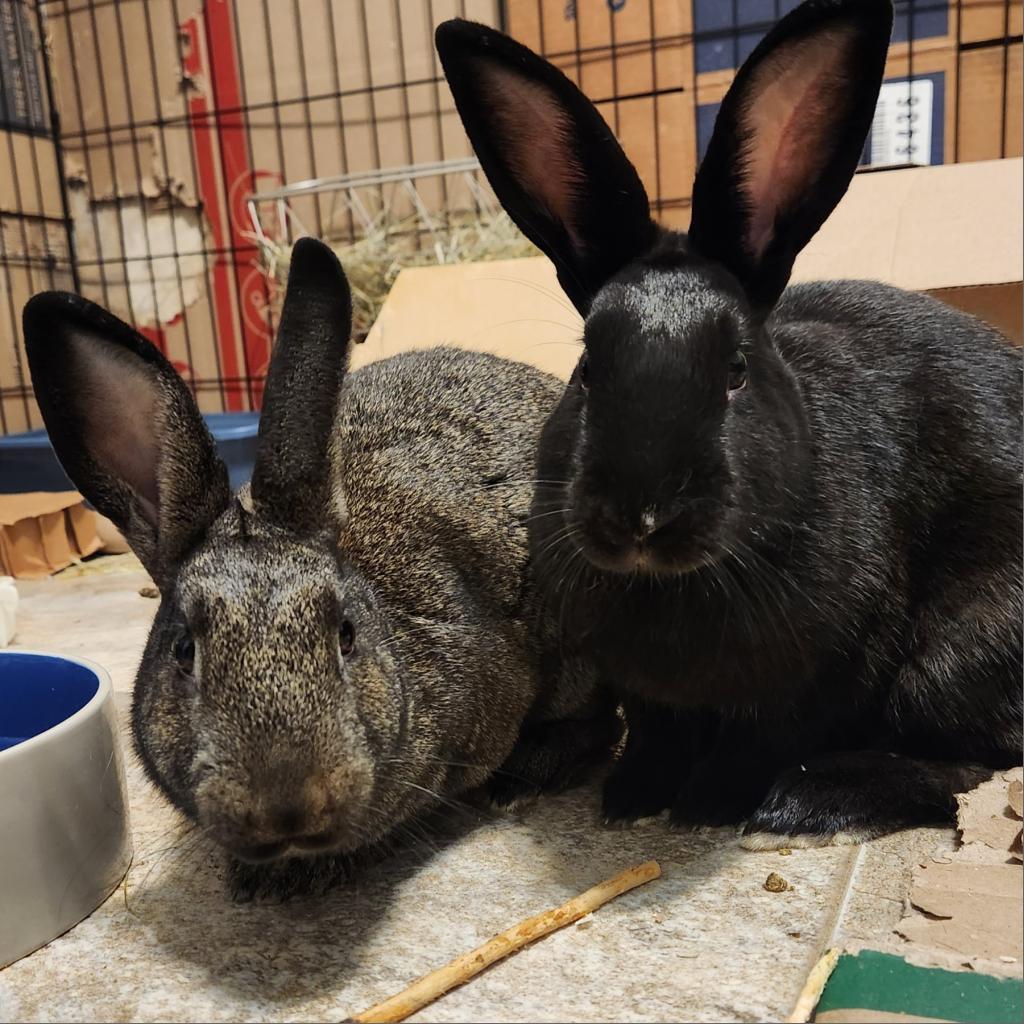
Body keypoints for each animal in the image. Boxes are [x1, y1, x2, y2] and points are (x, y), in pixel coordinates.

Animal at [437, 0, 1023, 849]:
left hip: (959, 654)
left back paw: (811, 799)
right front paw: (631, 798)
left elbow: (759, 741)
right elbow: (656, 734)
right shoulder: (642, 691)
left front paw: (709, 806)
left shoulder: (826, 674)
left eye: (737, 369)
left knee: (975, 763)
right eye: (587, 369)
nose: (642, 516)